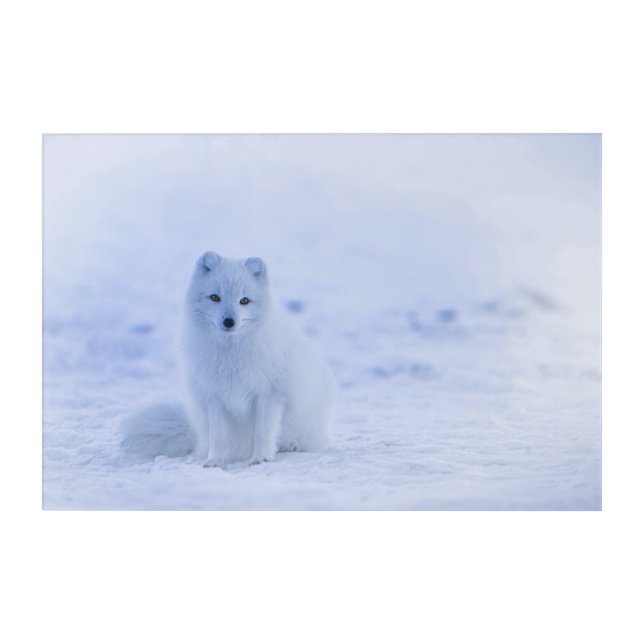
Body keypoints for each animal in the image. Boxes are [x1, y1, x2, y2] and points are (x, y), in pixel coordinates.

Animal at [120, 251, 335, 467]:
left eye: (244, 300)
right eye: (215, 297)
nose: (229, 322)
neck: (231, 353)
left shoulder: (270, 393)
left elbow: (263, 432)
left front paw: (260, 458)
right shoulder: (215, 395)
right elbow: (218, 436)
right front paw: (214, 461)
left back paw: (290, 446)